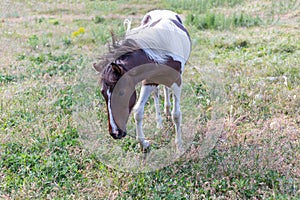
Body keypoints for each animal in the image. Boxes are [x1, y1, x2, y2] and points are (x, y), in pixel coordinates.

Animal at [94, 9, 191, 150]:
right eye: (103, 93)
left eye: (121, 92)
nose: (115, 133)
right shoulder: (149, 81)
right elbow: (138, 111)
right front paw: (144, 144)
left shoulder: (177, 81)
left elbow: (176, 115)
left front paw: (179, 147)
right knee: (157, 94)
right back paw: (160, 123)